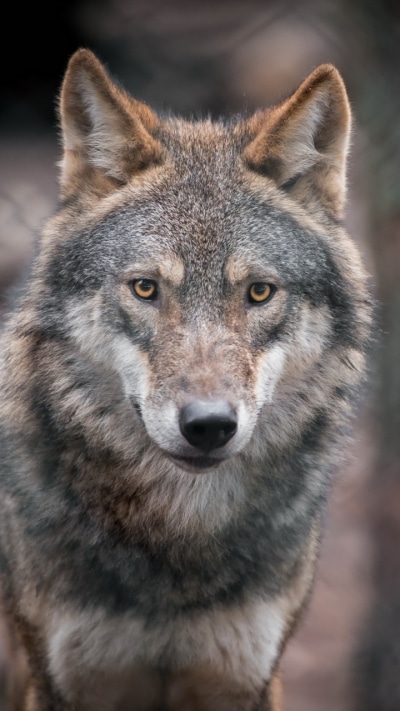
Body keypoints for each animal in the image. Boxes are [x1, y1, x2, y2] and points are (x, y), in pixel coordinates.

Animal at [0, 49, 371, 710]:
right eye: (146, 288)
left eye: (259, 292)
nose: (208, 426)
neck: (179, 540)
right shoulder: (61, 682)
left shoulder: (247, 679)